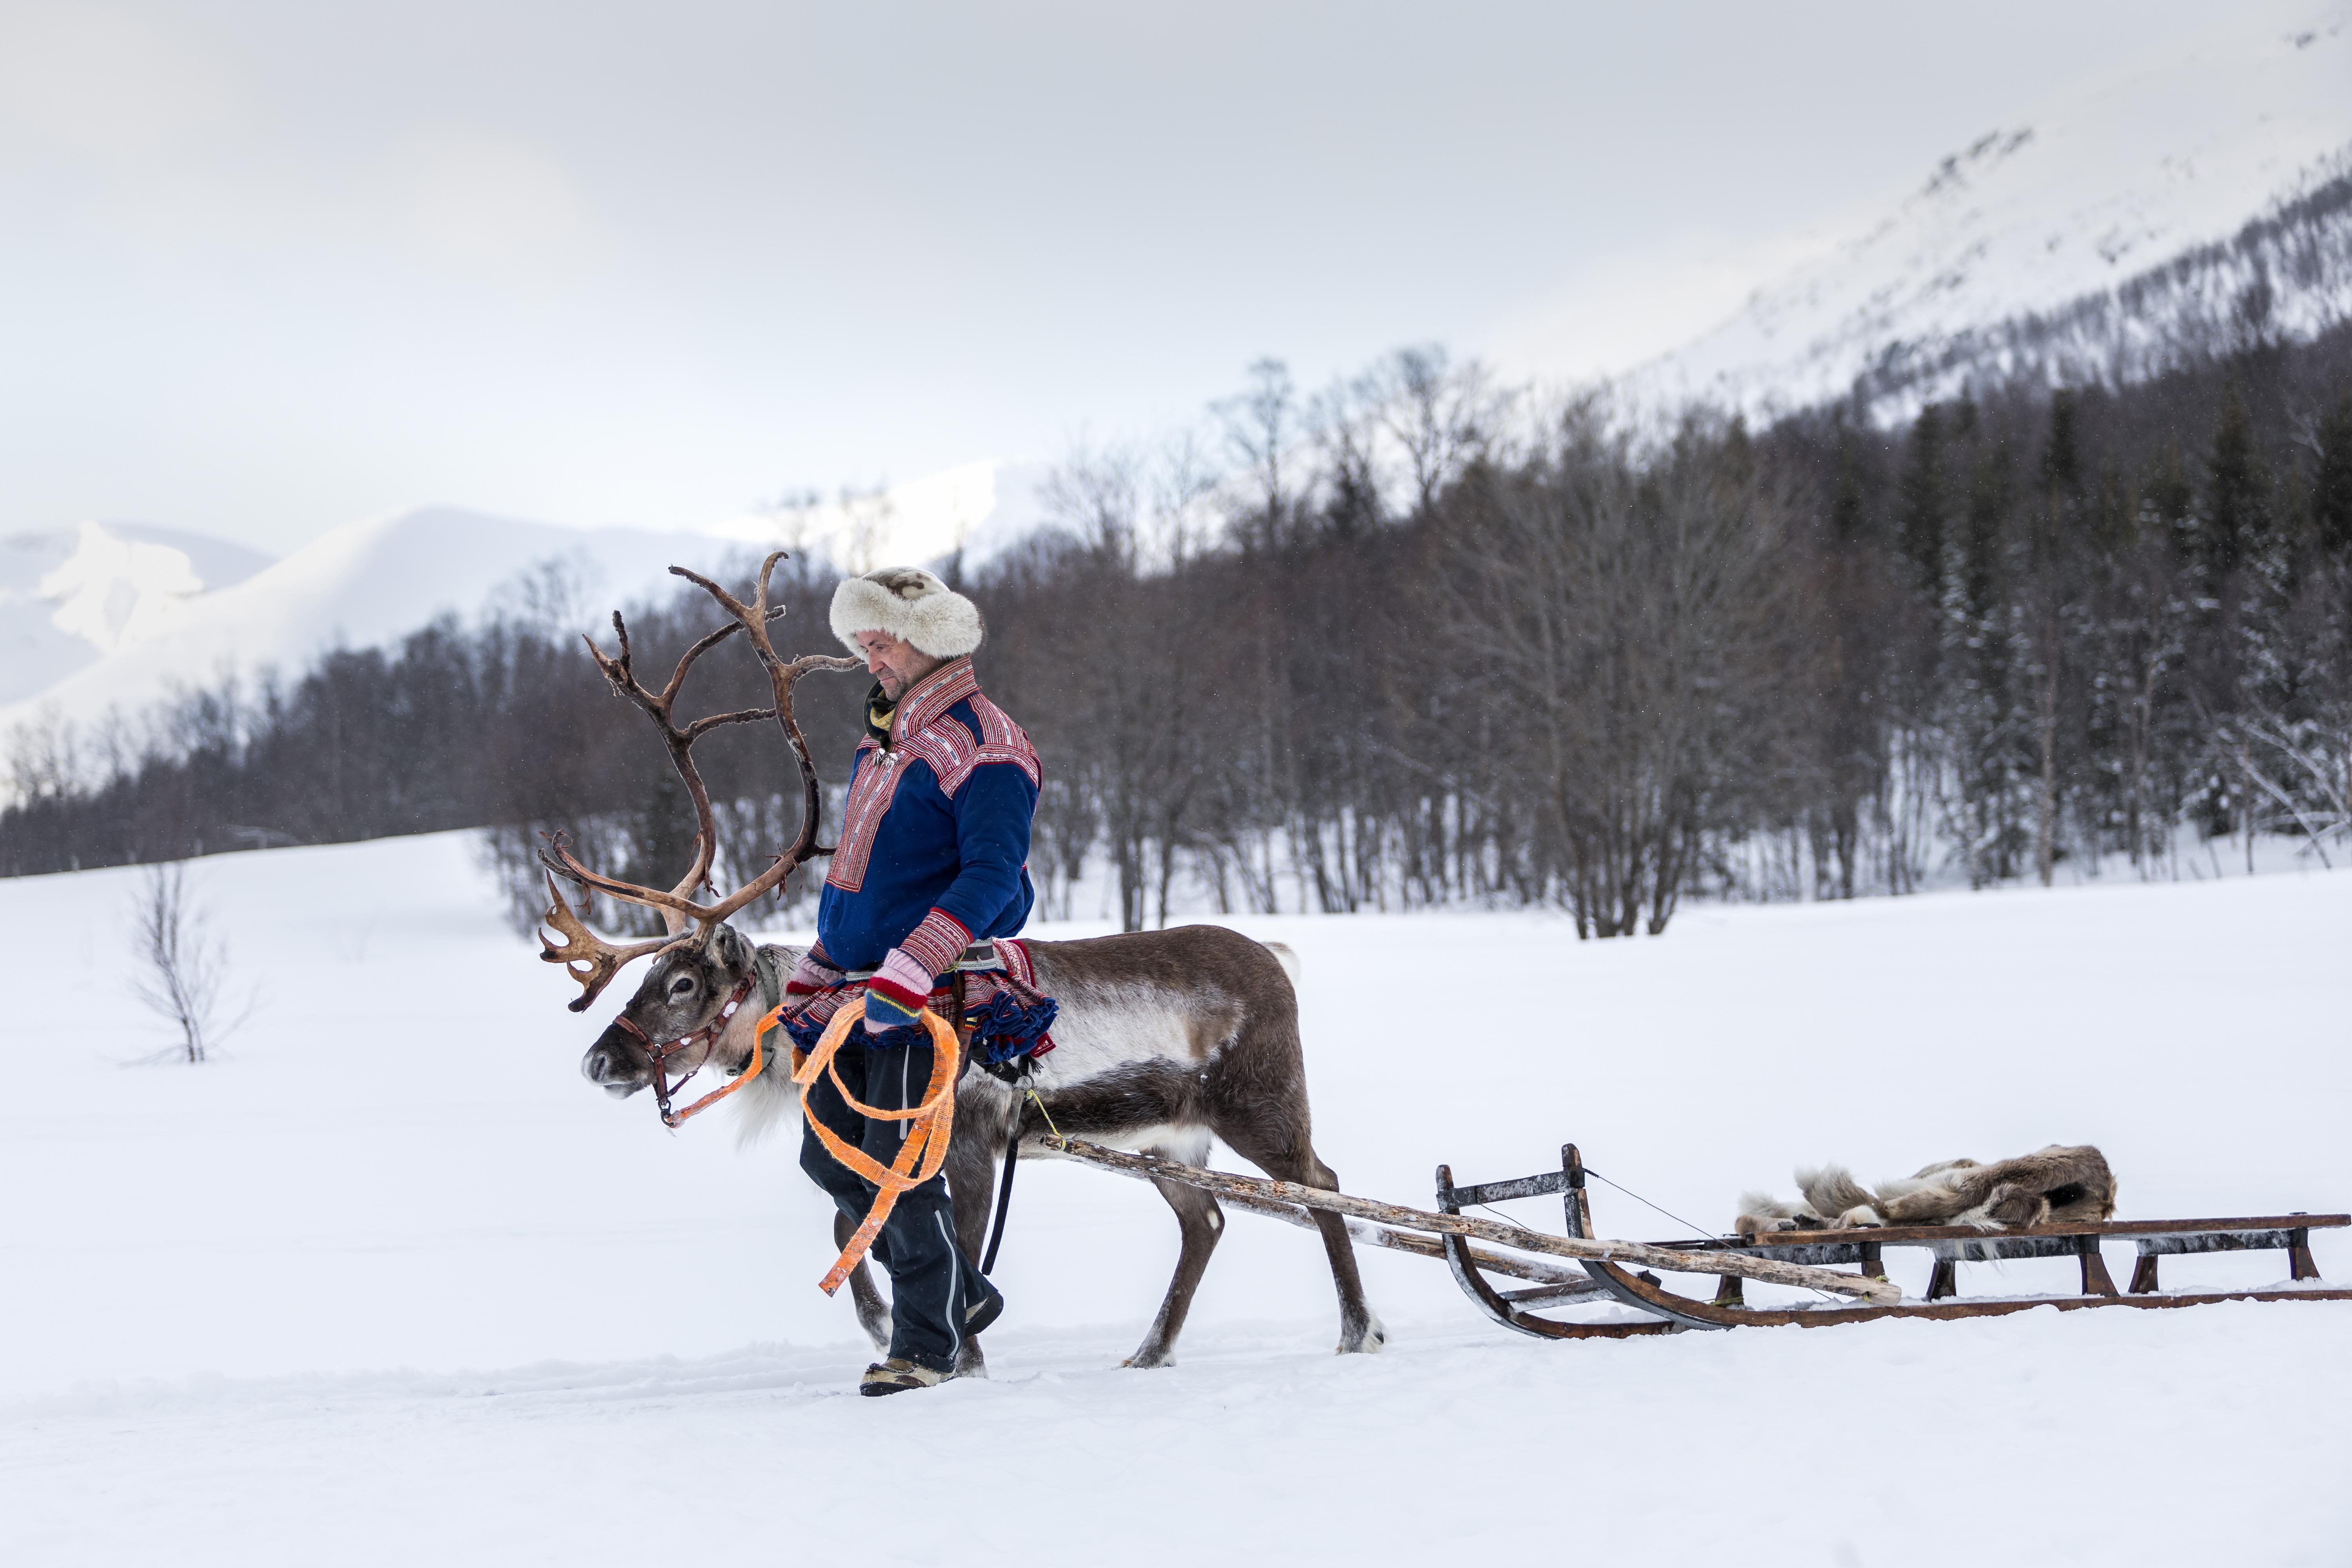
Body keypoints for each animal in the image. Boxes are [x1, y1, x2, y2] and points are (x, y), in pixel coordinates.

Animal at [539, 554, 1382, 1375]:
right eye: (644, 981)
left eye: (683, 984)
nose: (598, 1060)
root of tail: (1278, 962)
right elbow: (859, 1219)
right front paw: (894, 1325)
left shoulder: (972, 1139)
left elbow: (955, 1239)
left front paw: (957, 1353)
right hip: (1168, 1138)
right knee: (1207, 1218)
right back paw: (1151, 1352)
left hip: (1260, 1103)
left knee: (1323, 1187)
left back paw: (1358, 1330)